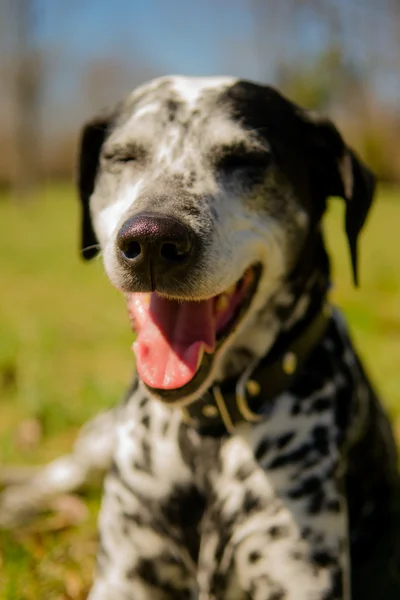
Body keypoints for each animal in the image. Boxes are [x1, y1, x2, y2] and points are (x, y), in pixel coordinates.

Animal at [0, 77, 400, 596]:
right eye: (121, 156)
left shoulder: (296, 573)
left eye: (247, 159)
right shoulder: (123, 575)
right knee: (61, 472)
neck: (206, 431)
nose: (151, 240)